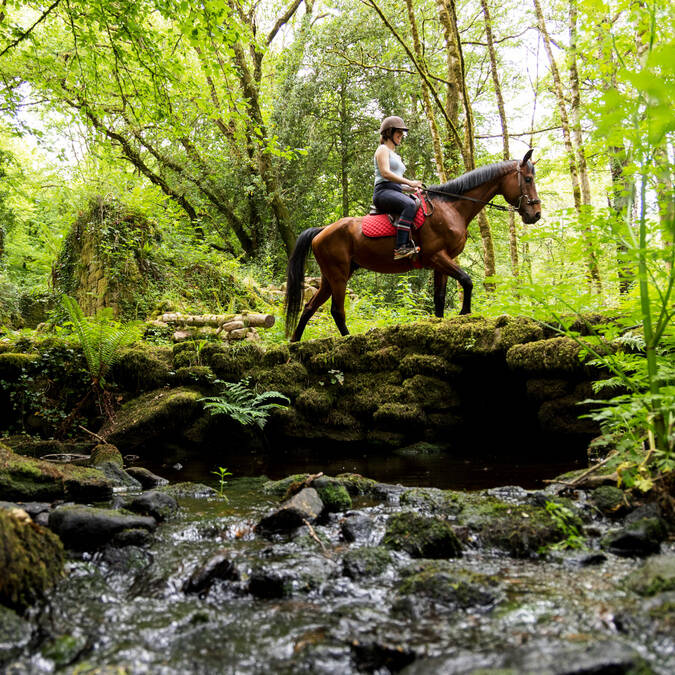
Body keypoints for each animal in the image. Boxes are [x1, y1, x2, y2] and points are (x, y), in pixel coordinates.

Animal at [286, 151, 544, 346]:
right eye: (527, 179)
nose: (536, 214)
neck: (451, 208)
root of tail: (322, 231)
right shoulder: (438, 256)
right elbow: (467, 280)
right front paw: (464, 315)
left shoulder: (442, 262)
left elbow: (439, 298)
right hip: (339, 275)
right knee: (337, 311)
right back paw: (348, 340)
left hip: (332, 276)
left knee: (309, 307)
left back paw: (294, 343)